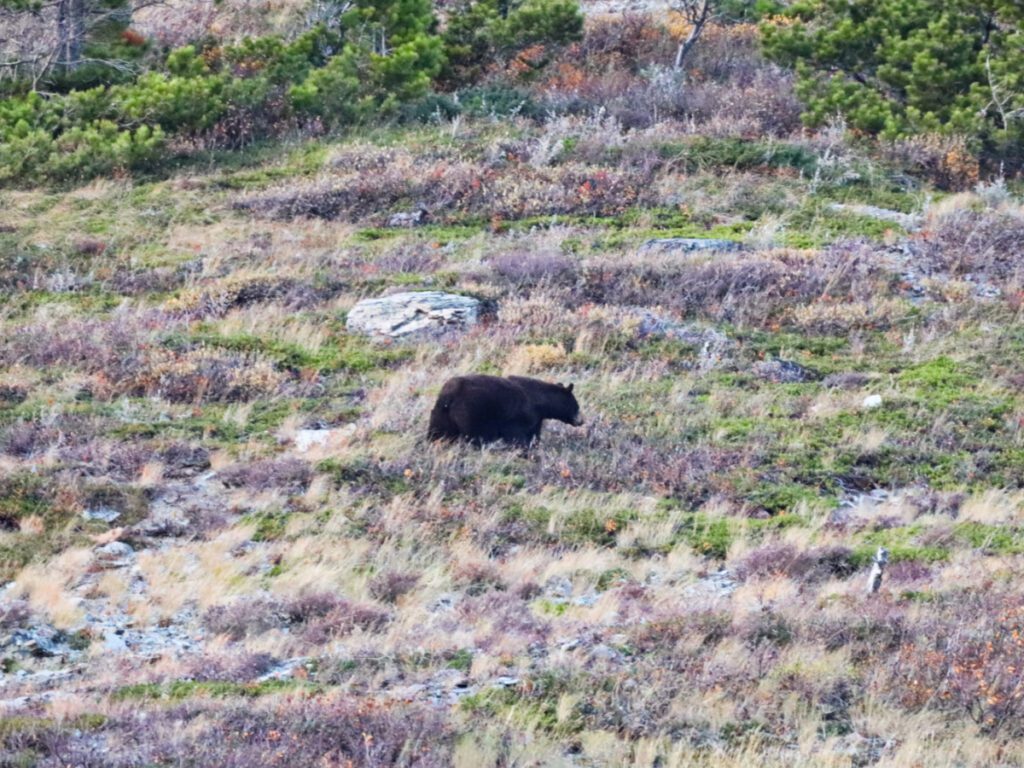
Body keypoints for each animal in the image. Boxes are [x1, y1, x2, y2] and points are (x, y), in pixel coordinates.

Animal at [425, 376, 585, 448]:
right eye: (577, 406)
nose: (582, 420)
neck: (540, 403)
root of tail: (449, 395)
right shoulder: (520, 417)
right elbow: (517, 436)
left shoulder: (536, 419)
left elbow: (534, 434)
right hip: (470, 414)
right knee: (472, 436)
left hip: (441, 414)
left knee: (437, 431)